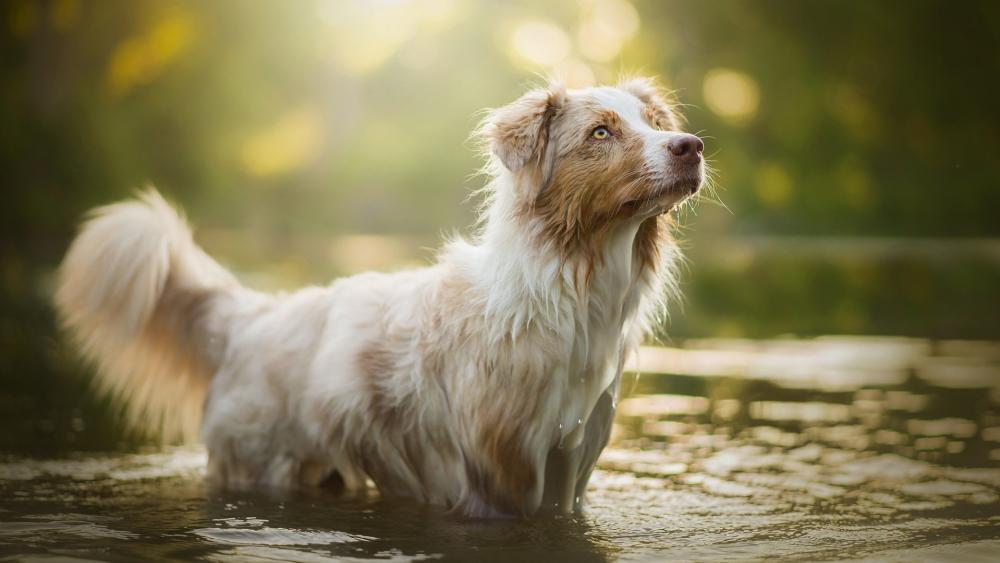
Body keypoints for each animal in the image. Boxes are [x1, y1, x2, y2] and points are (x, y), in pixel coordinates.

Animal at [56, 77, 704, 516]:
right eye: (601, 132)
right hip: (259, 466)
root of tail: (251, 315)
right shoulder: (500, 481)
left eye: (653, 121)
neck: (568, 291)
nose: (691, 145)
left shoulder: (570, 470)